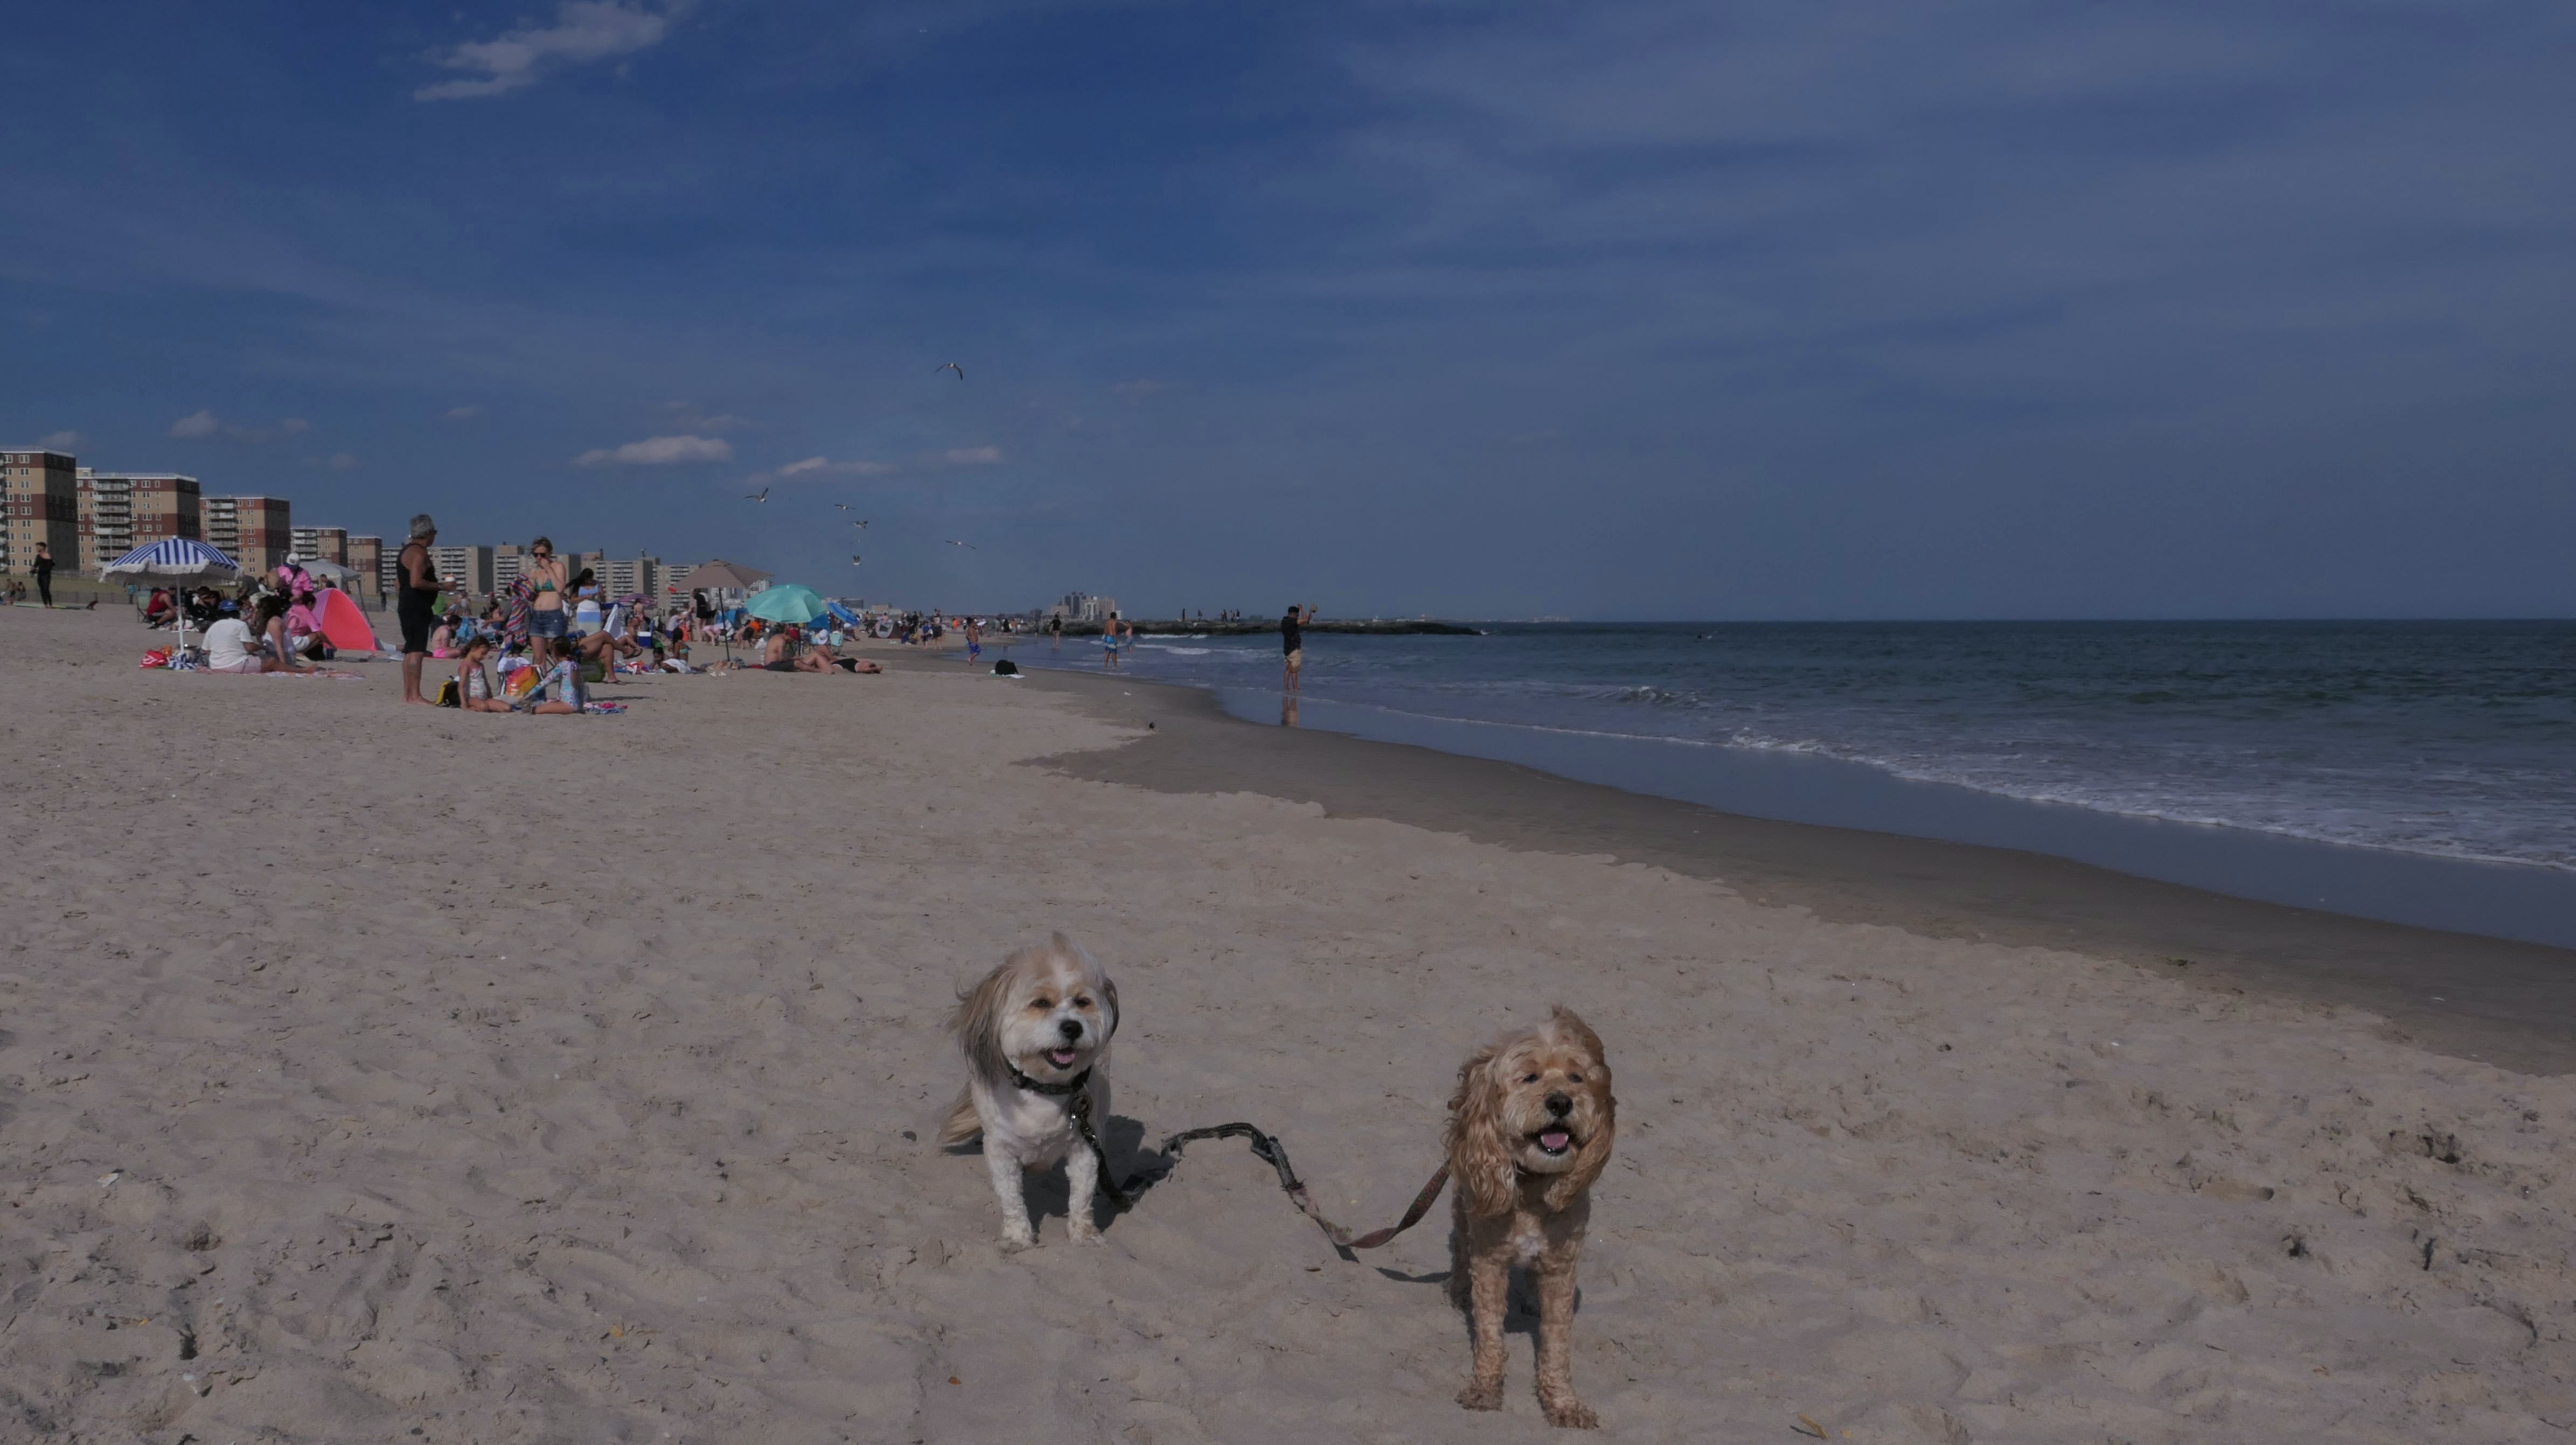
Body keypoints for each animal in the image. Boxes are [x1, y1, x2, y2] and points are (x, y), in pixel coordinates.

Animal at [938, 933, 1120, 1250]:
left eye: (1083, 1002)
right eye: (1041, 1003)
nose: (1072, 1027)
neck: (1044, 1088)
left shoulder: (1084, 1147)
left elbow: (1081, 1196)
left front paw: (1084, 1234)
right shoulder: (1001, 1150)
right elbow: (1012, 1198)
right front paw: (1018, 1237)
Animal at [1446, 1006, 1616, 1428]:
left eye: (1576, 1077)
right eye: (1530, 1076)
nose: (1561, 1102)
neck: (1533, 1186)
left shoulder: (1561, 1265)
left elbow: (1556, 1345)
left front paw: (1563, 1402)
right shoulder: (1489, 1259)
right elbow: (1490, 1332)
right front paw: (1485, 1388)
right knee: (1460, 1241)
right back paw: (1458, 1288)